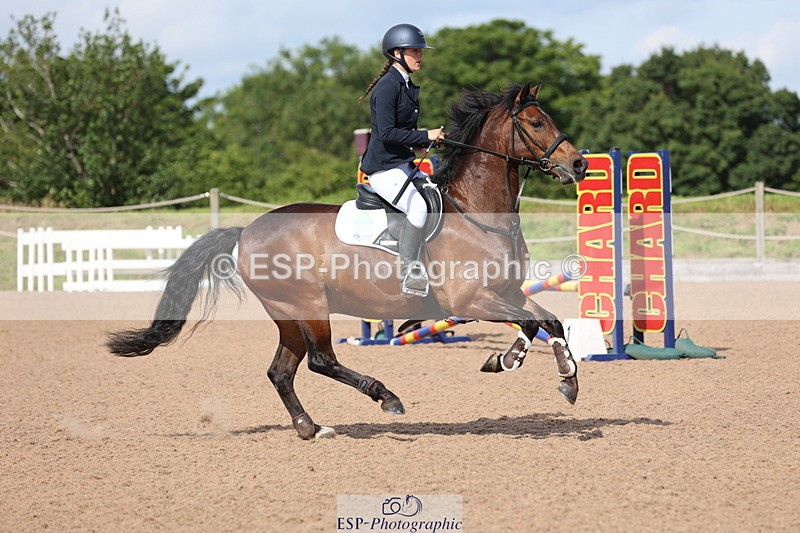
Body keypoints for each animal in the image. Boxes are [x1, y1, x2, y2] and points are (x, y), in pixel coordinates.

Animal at [106, 81, 589, 440]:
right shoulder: (469, 301)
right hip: (307, 306)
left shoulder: (506, 292)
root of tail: (245, 231)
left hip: (288, 315)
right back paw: (385, 397)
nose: (580, 165)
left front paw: (567, 379)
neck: (477, 212)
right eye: (536, 122)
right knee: (320, 361)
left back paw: (310, 428)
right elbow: (531, 323)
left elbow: (549, 321)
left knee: (281, 371)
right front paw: (505, 361)